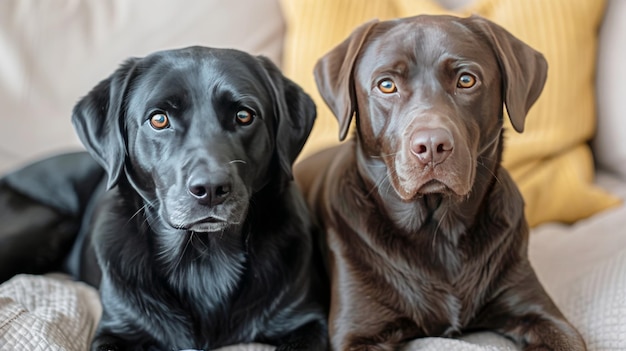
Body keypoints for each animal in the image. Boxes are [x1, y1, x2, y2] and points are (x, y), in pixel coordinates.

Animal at [1, 46, 326, 351]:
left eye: (244, 115)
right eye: (159, 119)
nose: (211, 188)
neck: (203, 260)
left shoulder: (307, 321)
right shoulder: (117, 329)